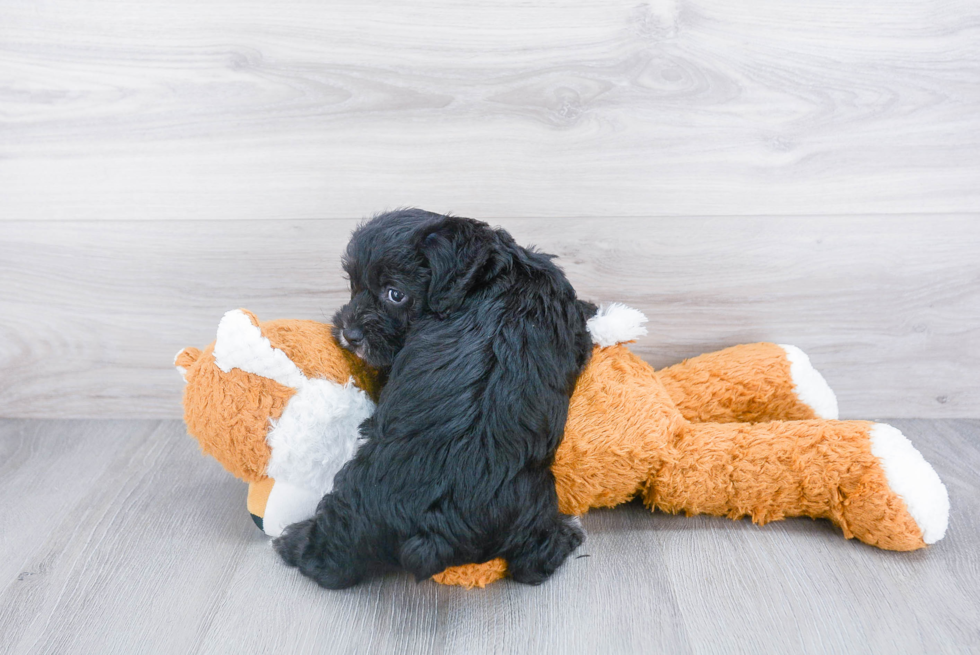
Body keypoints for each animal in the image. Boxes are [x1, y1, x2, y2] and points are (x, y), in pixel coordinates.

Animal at [272, 210, 592, 588]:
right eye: (354, 284)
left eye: (395, 294)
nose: (350, 335)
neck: (497, 274)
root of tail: (430, 528)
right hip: (531, 502)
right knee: (534, 561)